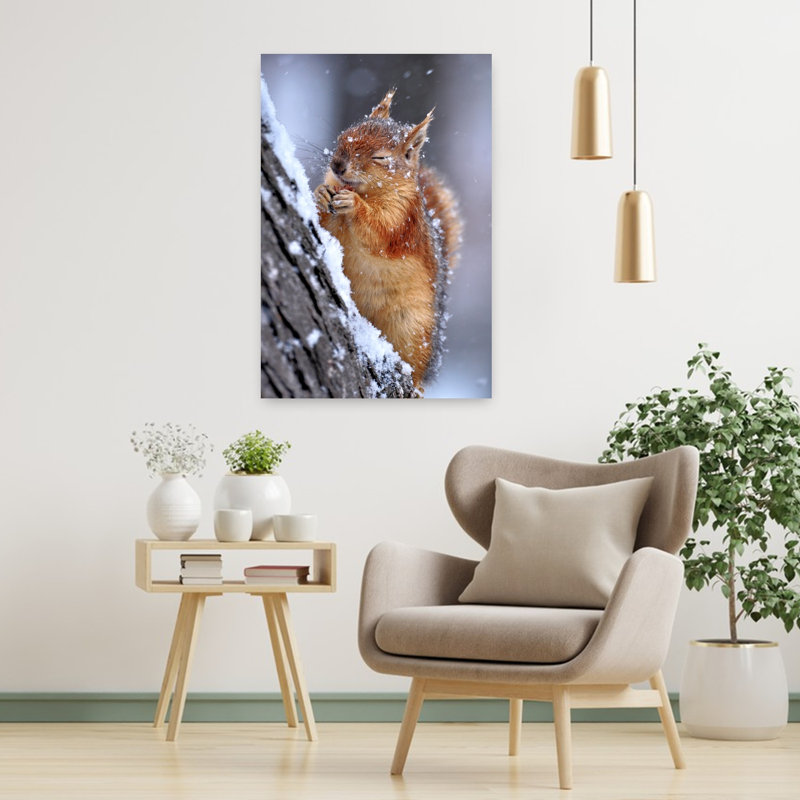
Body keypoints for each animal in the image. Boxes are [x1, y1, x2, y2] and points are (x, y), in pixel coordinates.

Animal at [314, 88, 462, 389]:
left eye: (381, 158)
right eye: (344, 135)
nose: (337, 165)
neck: (366, 191)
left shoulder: (402, 219)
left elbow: (380, 232)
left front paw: (355, 206)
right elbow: (326, 221)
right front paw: (322, 193)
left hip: (411, 326)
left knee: (414, 367)